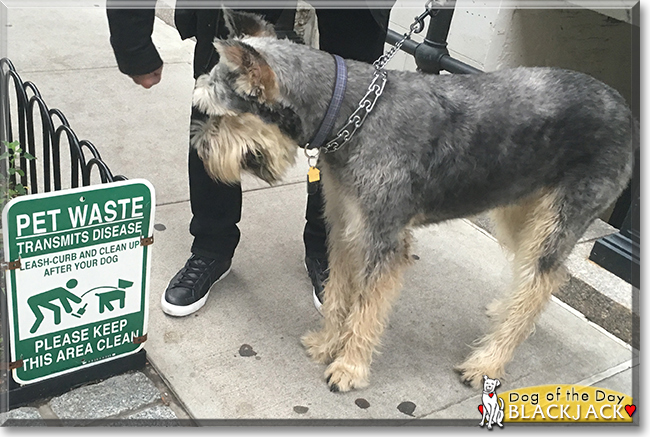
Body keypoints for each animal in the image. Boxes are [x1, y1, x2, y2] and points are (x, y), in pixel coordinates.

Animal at [190, 11, 636, 392]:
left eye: (220, 114)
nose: (200, 150)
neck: (351, 115)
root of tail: (625, 107)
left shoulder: (383, 240)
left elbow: (365, 310)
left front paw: (349, 367)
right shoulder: (348, 226)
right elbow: (338, 294)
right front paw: (327, 342)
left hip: (556, 217)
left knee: (542, 280)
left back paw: (488, 362)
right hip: (516, 209)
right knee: (538, 276)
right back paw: (503, 313)